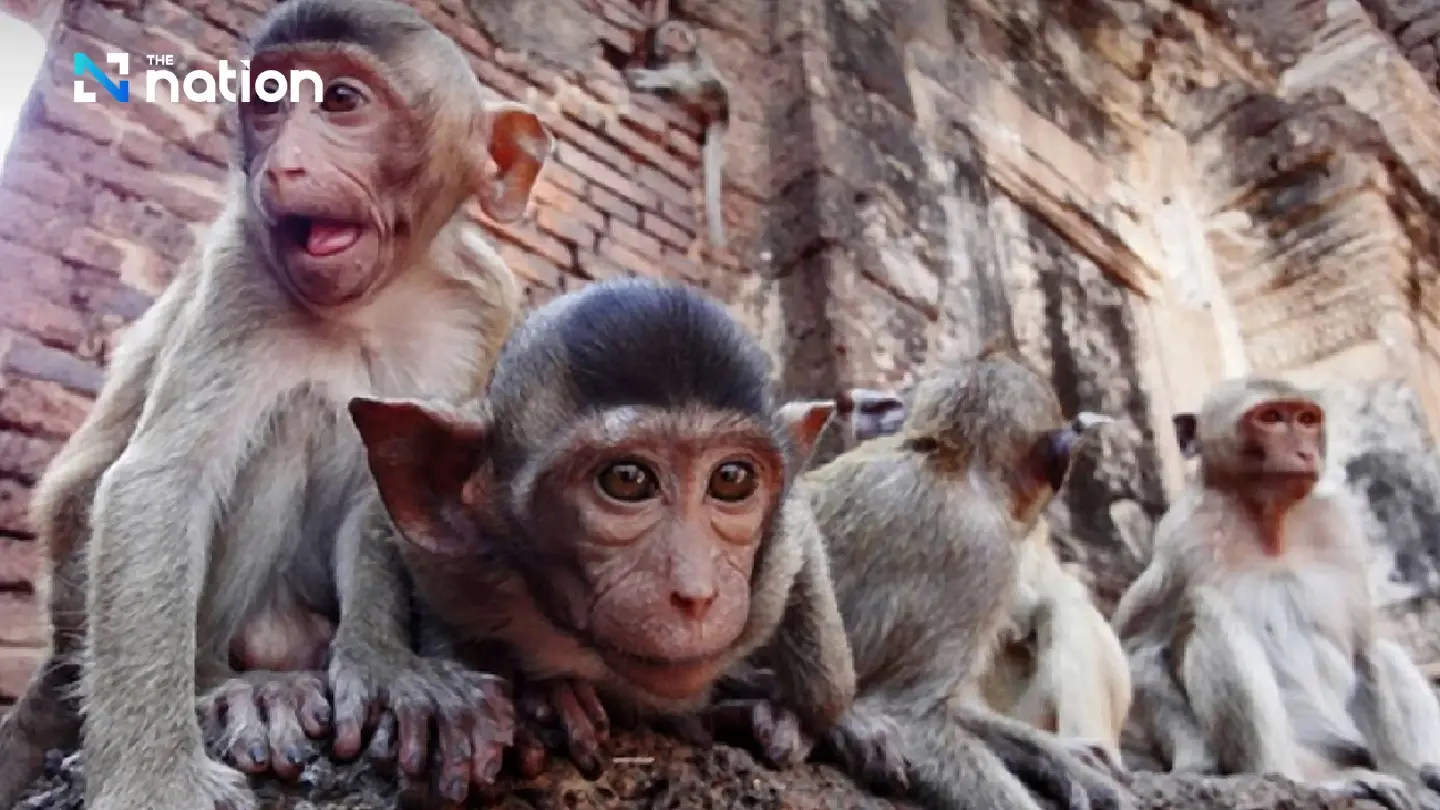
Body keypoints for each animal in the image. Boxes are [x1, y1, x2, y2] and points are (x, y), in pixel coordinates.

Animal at [0, 2, 556, 809]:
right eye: (267, 106)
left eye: (341, 101)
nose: (282, 165)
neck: (376, 297)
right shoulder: (242, 264)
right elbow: (157, 484)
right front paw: (152, 779)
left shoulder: (484, 304)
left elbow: (405, 484)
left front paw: (389, 666)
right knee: (284, 426)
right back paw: (227, 685)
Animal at [348, 276, 858, 783]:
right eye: (627, 480)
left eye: (732, 479)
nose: (696, 594)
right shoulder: (452, 562)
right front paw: (505, 699)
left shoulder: (775, 567)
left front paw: (799, 715)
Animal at [623, 17, 730, 252]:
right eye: (672, 30)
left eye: (681, 33)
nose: (679, 38)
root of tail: (722, 115)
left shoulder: (696, 64)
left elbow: (683, 72)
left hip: (709, 92)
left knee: (685, 78)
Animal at [1112, 377, 1440, 810]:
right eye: (1270, 418)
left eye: (1306, 419)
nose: (1304, 452)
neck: (1269, 524)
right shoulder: (1182, 537)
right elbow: (1138, 650)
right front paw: (1195, 765)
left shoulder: (1339, 525)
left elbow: (1362, 651)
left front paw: (1411, 779)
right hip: (1311, 758)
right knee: (1208, 611)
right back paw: (1296, 779)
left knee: (1385, 652)